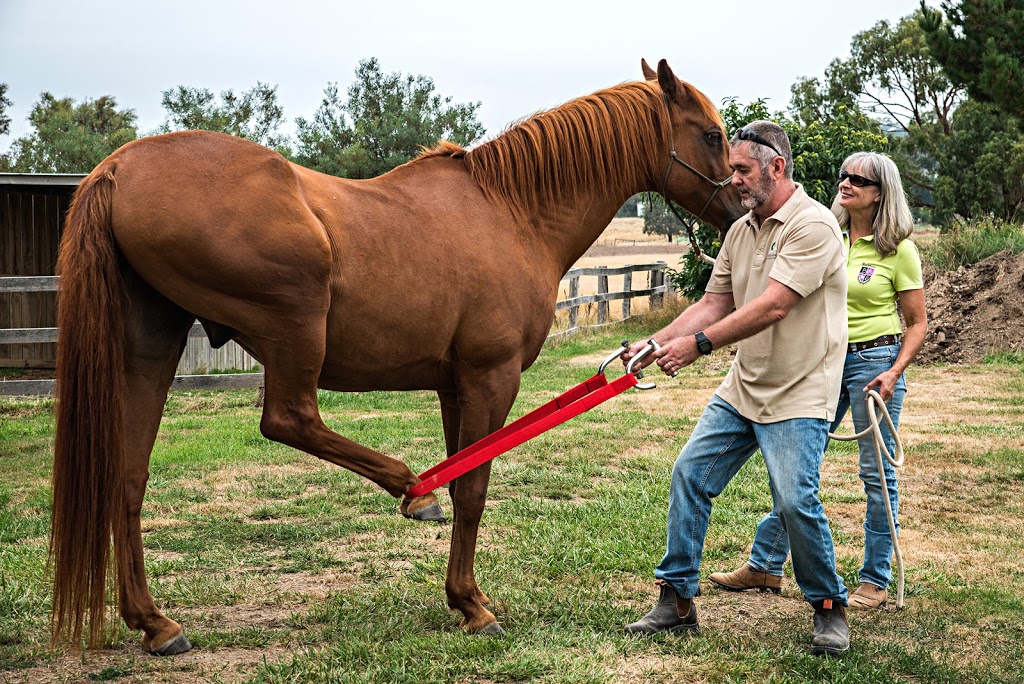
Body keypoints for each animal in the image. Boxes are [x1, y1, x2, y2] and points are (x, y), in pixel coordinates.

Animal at [51, 58, 741, 651]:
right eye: (711, 134)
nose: (741, 207)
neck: (512, 214)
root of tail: (118, 169)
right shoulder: (490, 378)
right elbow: (471, 487)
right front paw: (472, 604)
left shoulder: (453, 385)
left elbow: (466, 475)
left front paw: (461, 594)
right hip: (295, 328)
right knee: (289, 419)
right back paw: (411, 486)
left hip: (150, 350)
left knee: (128, 476)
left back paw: (154, 622)